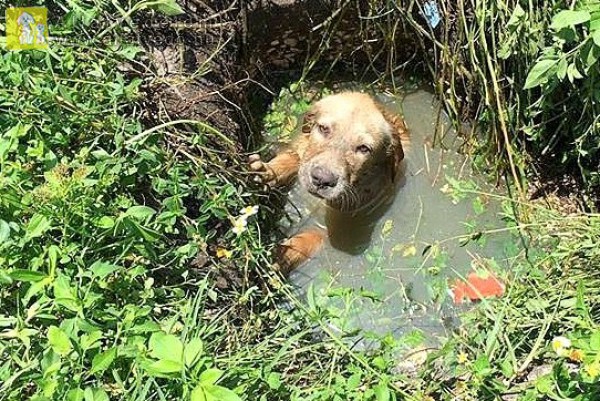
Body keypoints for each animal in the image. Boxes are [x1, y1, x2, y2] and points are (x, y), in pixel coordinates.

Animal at [251, 91, 410, 274]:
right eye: (323, 129)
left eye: (364, 148)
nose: (321, 179)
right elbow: (293, 158)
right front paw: (267, 171)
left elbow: (311, 236)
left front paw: (280, 254)